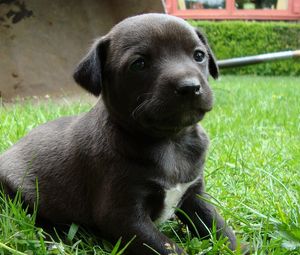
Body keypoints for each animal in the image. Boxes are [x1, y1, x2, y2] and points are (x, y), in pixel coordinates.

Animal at [0, 13, 236, 255]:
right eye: (139, 64)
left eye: (199, 55)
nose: (190, 87)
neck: (171, 141)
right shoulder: (123, 215)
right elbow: (167, 248)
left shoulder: (194, 195)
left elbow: (219, 226)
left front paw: (240, 247)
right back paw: (53, 241)